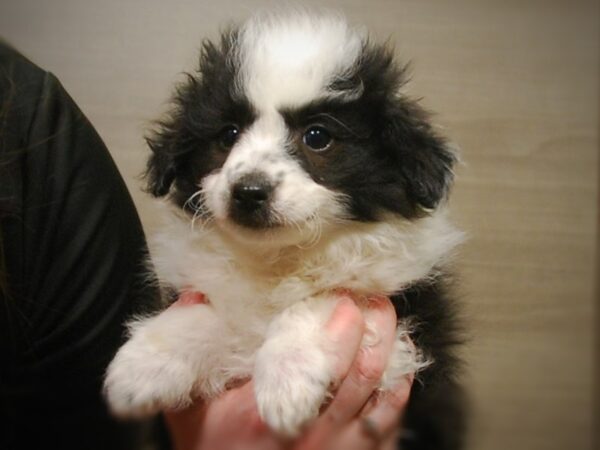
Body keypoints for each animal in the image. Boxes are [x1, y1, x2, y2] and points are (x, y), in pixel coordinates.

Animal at [105, 11, 466, 450]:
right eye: (228, 134)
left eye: (318, 136)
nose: (248, 192)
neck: (278, 260)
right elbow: (210, 313)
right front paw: (144, 364)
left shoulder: (405, 338)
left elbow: (327, 295)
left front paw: (286, 380)